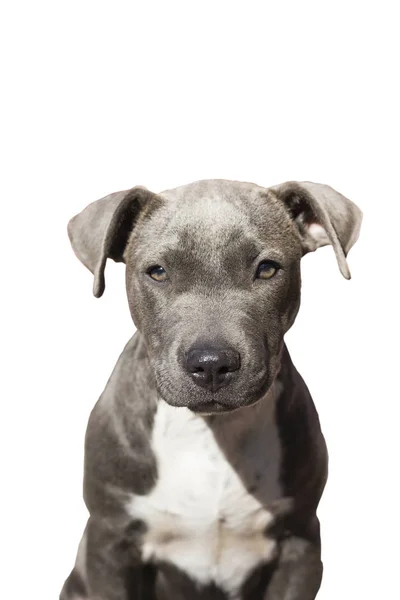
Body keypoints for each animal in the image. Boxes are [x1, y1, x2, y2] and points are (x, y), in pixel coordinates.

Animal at [60, 179, 362, 600]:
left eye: (267, 269)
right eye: (157, 272)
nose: (211, 363)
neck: (209, 430)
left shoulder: (300, 543)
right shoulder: (110, 543)